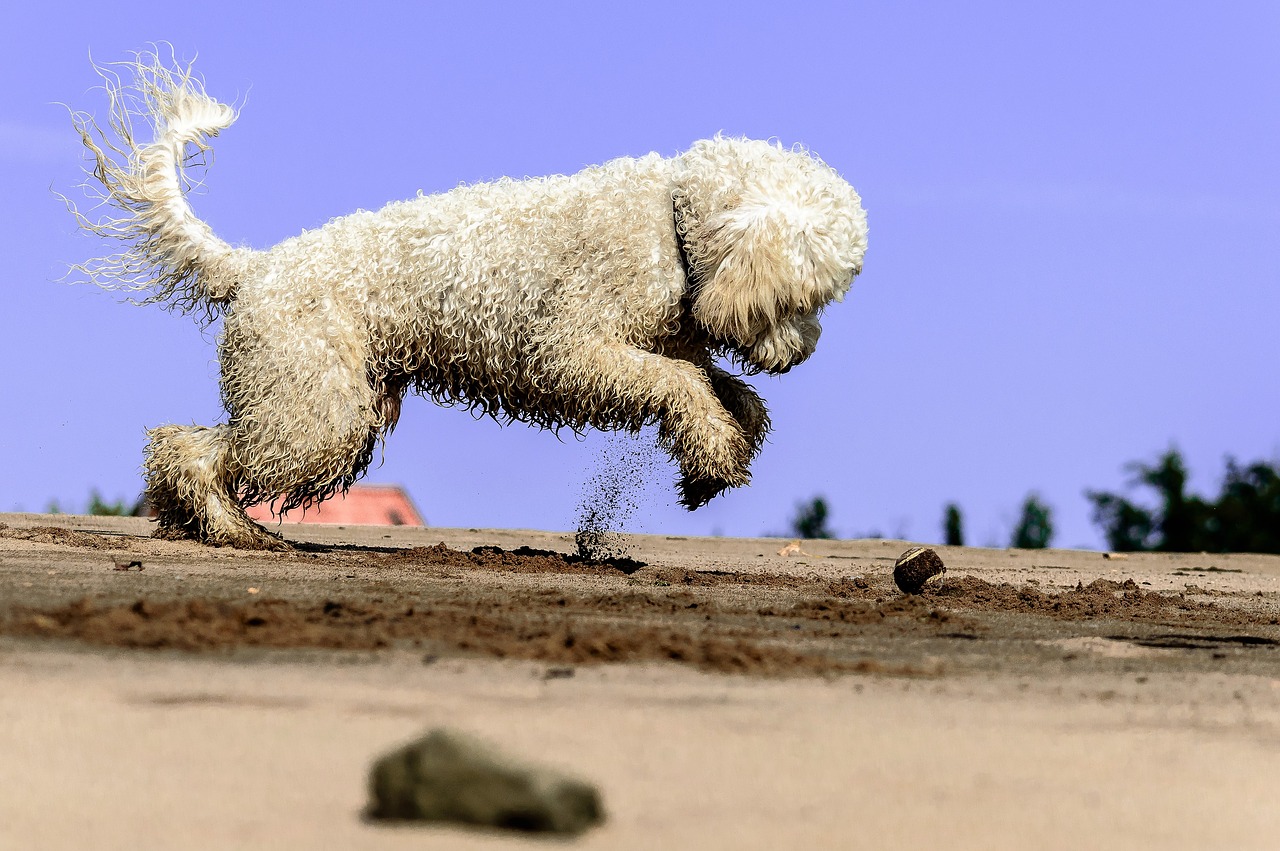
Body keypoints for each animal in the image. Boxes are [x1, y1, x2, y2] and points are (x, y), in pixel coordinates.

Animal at [72, 56, 870, 550]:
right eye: (799, 299)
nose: (801, 354)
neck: (670, 225)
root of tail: (254, 267)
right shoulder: (572, 351)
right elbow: (681, 384)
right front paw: (714, 453)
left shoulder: (661, 342)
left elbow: (725, 392)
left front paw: (719, 454)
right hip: (312, 411)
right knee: (190, 448)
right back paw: (226, 527)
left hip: (336, 407)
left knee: (191, 447)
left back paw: (207, 525)